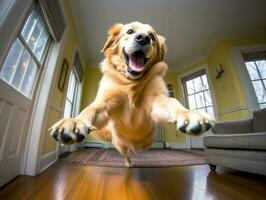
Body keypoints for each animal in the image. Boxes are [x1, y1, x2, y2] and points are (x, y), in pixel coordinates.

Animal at [49, 21, 212, 167]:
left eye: (152, 36)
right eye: (130, 31)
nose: (144, 38)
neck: (131, 83)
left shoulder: (157, 99)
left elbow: (173, 102)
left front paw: (188, 114)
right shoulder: (105, 103)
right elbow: (90, 109)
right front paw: (74, 122)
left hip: (147, 142)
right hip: (121, 145)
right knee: (126, 153)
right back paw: (129, 162)